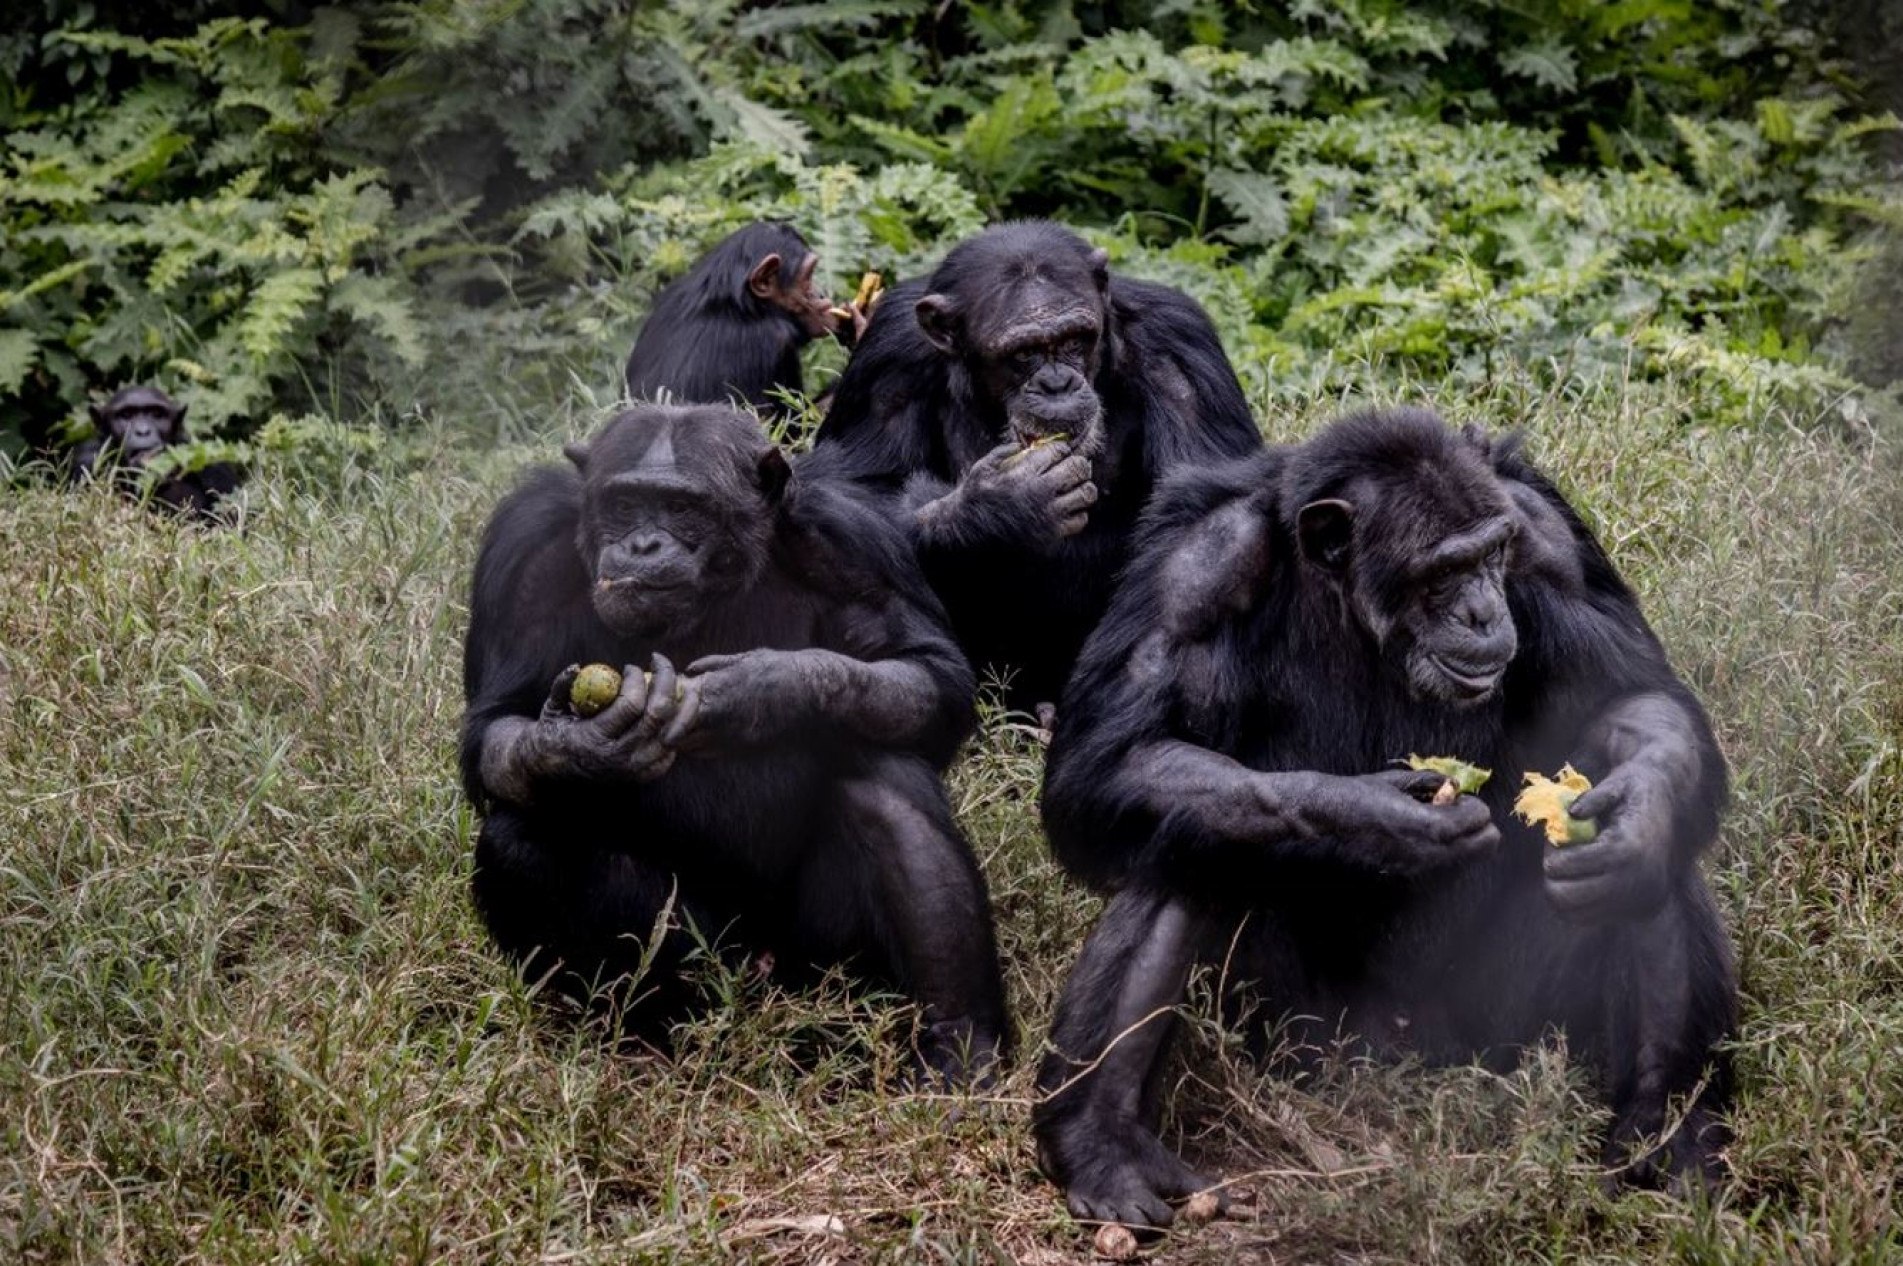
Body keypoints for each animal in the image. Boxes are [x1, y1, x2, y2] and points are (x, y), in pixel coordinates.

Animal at [460, 399, 1012, 1081]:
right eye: (625, 504)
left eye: (682, 509)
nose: (643, 543)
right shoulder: (524, 552)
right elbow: (495, 724)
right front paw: (581, 747)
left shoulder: (856, 538)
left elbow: (930, 673)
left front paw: (761, 690)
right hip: (714, 964)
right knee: (522, 839)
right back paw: (640, 1044)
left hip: (826, 979)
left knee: (885, 778)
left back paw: (959, 1046)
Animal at [806, 221, 1263, 715]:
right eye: (1023, 354)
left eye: (1075, 340)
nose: (1057, 384)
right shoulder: (888, 353)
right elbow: (850, 487)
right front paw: (1002, 504)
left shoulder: (1180, 346)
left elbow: (1203, 501)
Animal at [1035, 405, 1735, 1226]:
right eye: (1442, 572)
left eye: (1492, 555)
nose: (1483, 609)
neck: (1347, 602)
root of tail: (1403, 1059)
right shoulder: (1194, 571)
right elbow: (1110, 760)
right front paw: (1383, 822)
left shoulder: (1545, 536)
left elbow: (1630, 695)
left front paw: (1637, 823)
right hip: (1301, 1041)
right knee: (1186, 838)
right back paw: (1101, 1144)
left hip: (1503, 1030)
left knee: (1652, 869)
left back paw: (1669, 1135)